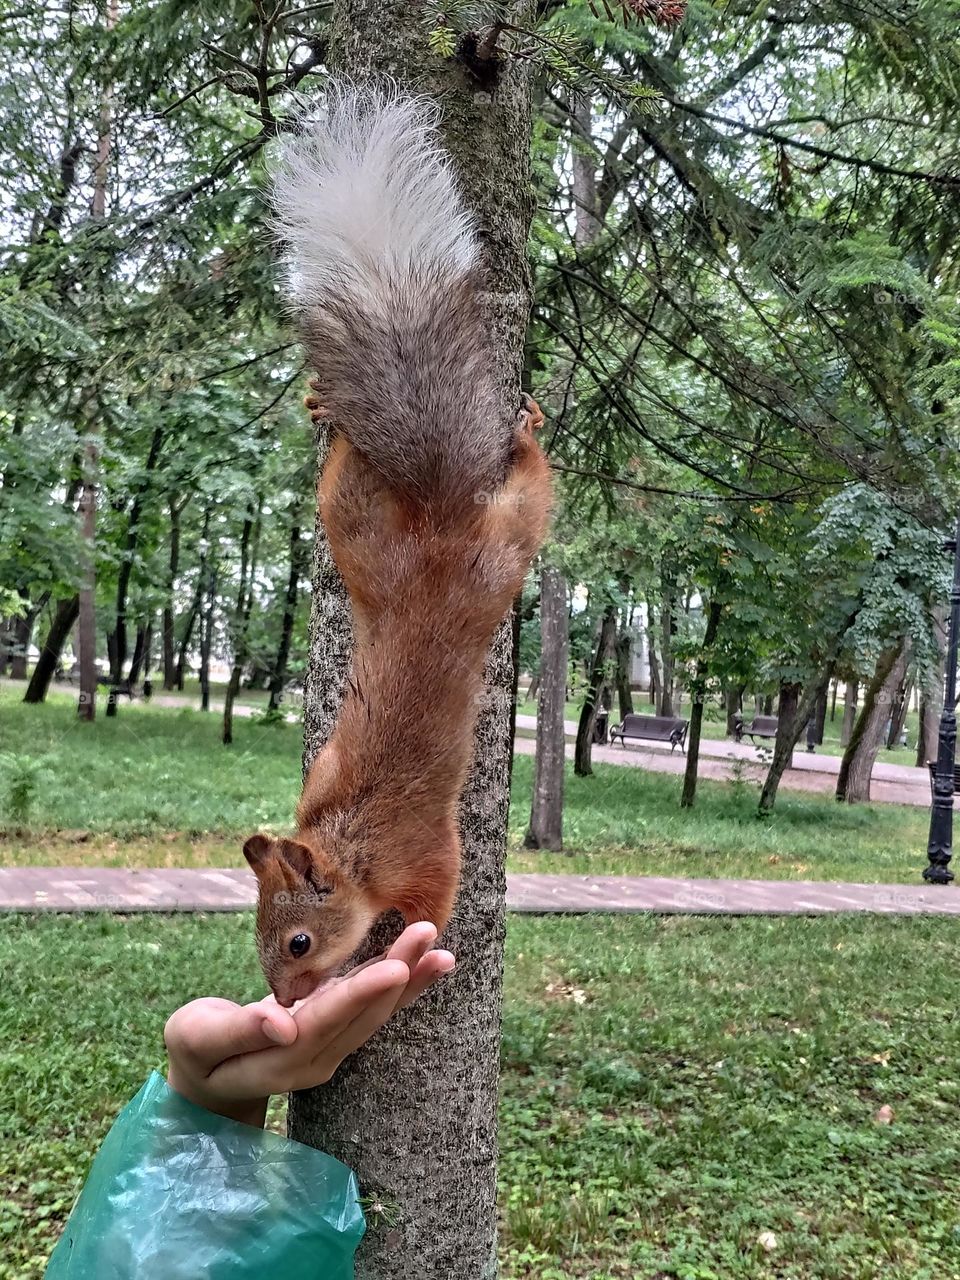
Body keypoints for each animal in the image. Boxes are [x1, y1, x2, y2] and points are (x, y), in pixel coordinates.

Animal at [244, 87, 552, 1008]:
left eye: (300, 941)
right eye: (255, 934)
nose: (285, 1002)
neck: (348, 840)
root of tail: (437, 521)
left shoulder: (423, 854)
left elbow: (435, 903)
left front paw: (403, 957)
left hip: (502, 552)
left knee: (533, 493)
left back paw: (528, 437)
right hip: (360, 536)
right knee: (347, 473)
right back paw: (331, 411)